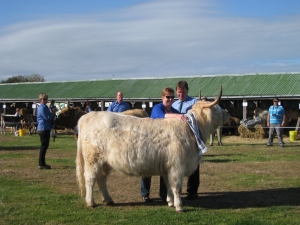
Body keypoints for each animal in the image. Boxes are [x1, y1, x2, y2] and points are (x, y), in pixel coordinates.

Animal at [75, 88, 230, 213]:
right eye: (217, 107)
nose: (227, 113)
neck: (191, 130)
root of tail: (88, 116)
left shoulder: (168, 167)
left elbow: (169, 185)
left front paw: (170, 202)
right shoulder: (177, 166)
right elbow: (177, 187)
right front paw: (179, 206)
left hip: (105, 162)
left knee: (101, 179)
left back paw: (108, 199)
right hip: (92, 159)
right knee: (90, 179)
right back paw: (91, 202)